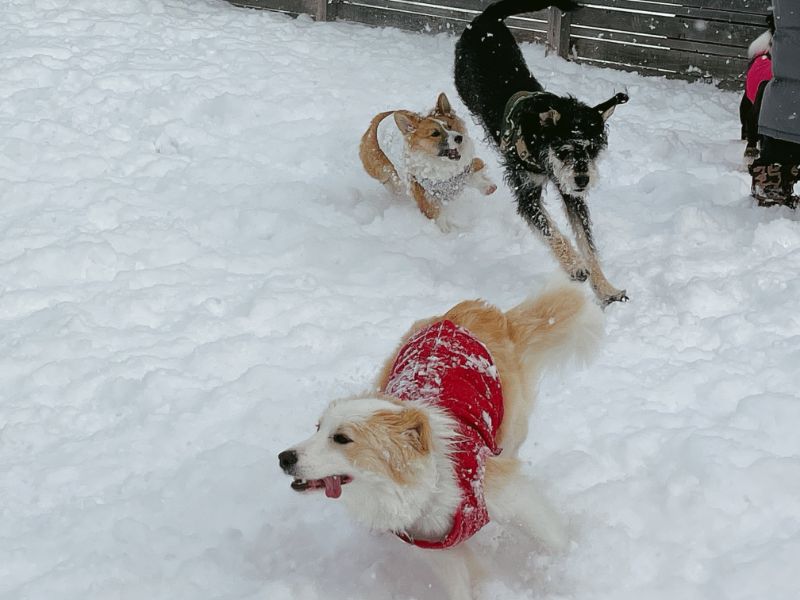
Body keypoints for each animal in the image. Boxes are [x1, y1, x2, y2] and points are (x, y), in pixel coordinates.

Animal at [280, 282, 600, 600]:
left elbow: (553, 537)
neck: (431, 483)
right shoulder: (437, 545)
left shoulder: (509, 494)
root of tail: (477, 310)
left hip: (511, 428)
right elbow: (461, 582)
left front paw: (565, 568)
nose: (283, 458)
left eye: (342, 438)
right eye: (318, 427)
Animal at [360, 92, 496, 226]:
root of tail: (378, 119)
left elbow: (476, 175)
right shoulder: (425, 195)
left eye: (449, 126)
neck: (442, 164)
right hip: (382, 170)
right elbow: (436, 215)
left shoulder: (464, 171)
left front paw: (487, 187)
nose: (459, 138)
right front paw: (447, 230)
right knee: (389, 181)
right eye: (435, 133)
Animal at [454, 0, 628, 308]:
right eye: (564, 150)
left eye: (592, 150)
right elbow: (551, 231)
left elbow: (588, 243)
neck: (539, 142)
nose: (583, 180)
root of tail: (487, 18)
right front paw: (574, 265)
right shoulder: (527, 194)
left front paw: (606, 289)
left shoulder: (571, 194)